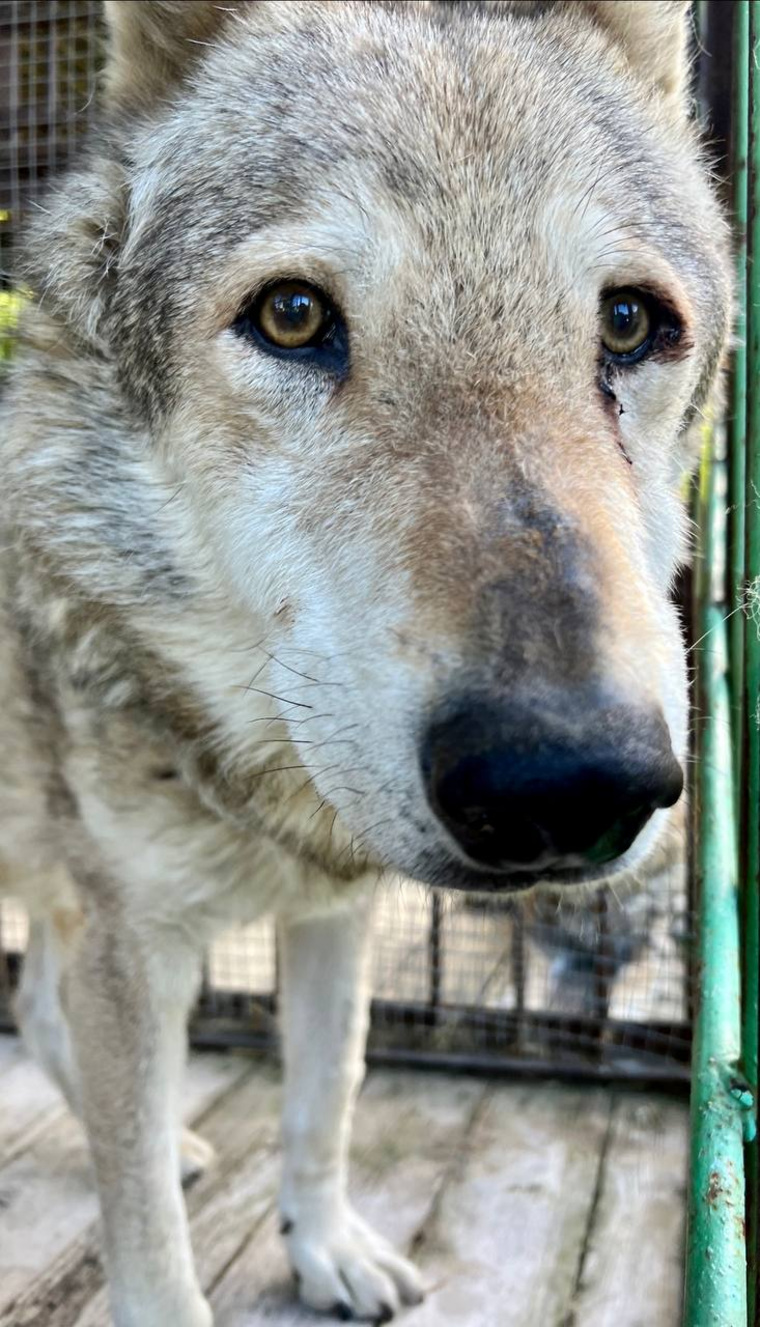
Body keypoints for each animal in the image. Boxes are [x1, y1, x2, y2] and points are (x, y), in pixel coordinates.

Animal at [0, 0, 726, 1321]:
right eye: (292, 316)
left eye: (630, 324)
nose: (565, 783)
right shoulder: (132, 941)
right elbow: (149, 1239)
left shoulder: (335, 913)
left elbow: (325, 1096)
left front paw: (325, 1244)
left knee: (33, 1005)